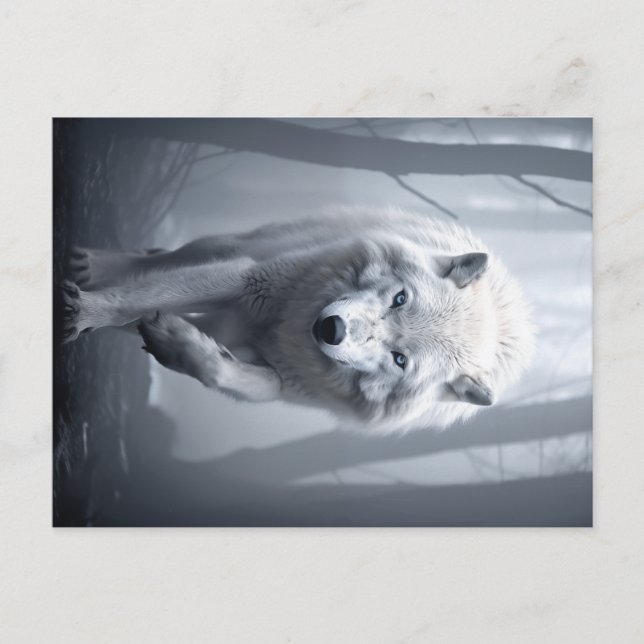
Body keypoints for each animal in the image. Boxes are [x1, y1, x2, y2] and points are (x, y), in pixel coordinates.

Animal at [62, 207, 534, 433]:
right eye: (400, 299)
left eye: (400, 360)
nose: (332, 329)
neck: (287, 325)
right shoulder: (250, 278)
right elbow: (133, 298)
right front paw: (85, 312)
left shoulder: (285, 383)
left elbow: (229, 373)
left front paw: (175, 344)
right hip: (233, 246)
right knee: (163, 260)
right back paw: (95, 267)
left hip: (225, 317)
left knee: (152, 300)